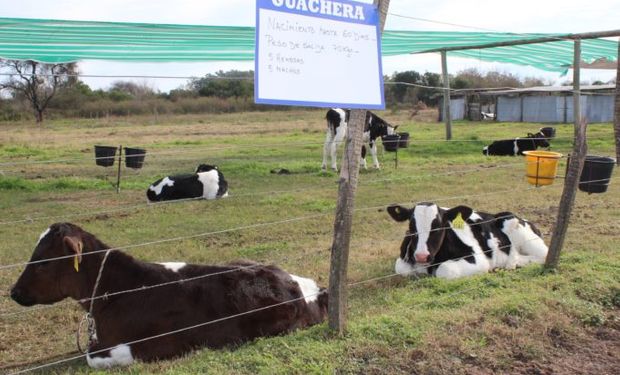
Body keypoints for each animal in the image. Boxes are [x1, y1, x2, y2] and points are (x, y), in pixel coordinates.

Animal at [388, 203, 548, 280]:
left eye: (439, 226)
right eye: (411, 227)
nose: (422, 256)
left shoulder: (479, 260)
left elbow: (445, 269)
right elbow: (401, 268)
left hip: (519, 229)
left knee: (542, 255)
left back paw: (512, 263)